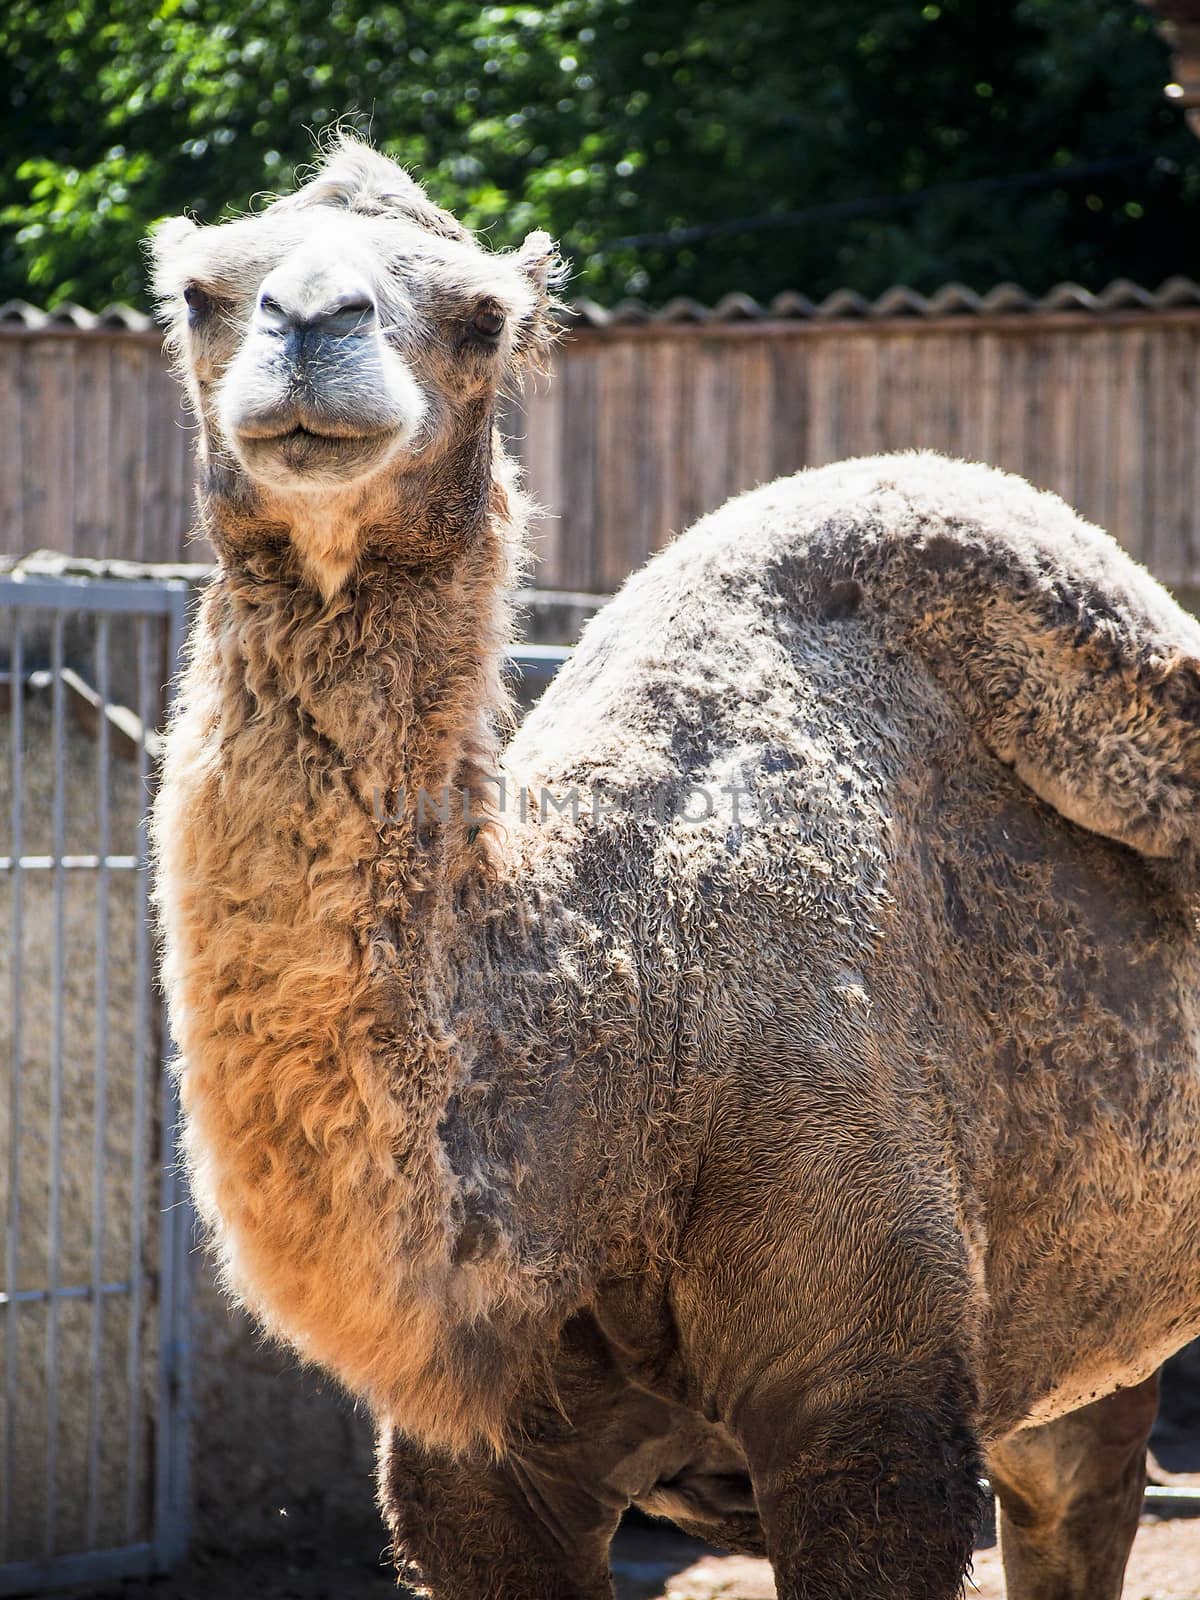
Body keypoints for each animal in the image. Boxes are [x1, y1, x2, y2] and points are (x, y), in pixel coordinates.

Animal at [148, 140, 1200, 1600]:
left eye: (484, 318)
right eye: (200, 293)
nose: (311, 324)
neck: (623, 1032)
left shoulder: (872, 1407)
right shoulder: (472, 1475)